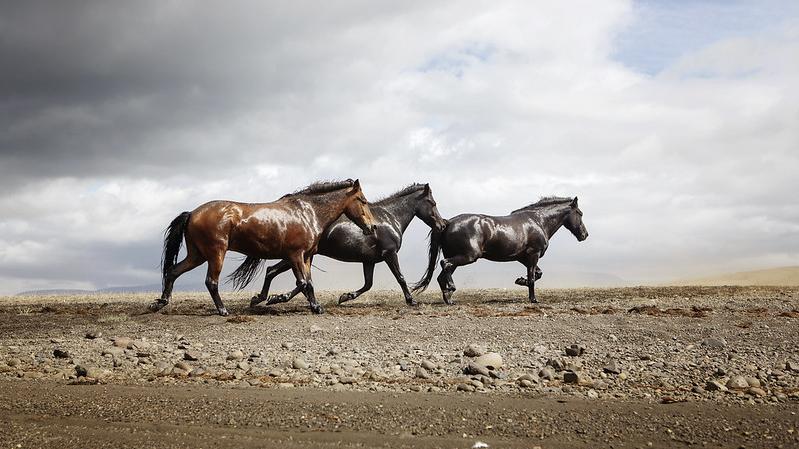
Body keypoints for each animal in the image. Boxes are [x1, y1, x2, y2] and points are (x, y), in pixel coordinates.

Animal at [151, 179, 377, 316]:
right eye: (363, 200)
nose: (372, 227)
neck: (308, 213)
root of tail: (192, 213)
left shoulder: (306, 257)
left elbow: (307, 282)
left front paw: (267, 299)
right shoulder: (295, 255)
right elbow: (304, 283)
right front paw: (315, 307)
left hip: (197, 255)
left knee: (173, 271)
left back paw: (160, 303)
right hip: (216, 254)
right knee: (211, 282)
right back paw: (223, 310)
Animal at [227, 183, 447, 307]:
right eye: (433, 203)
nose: (442, 224)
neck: (389, 218)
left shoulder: (369, 261)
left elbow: (368, 284)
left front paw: (345, 296)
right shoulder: (389, 254)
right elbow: (400, 278)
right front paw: (412, 300)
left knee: (279, 274)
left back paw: (268, 298)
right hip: (296, 256)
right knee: (280, 274)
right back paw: (273, 298)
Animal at [413, 196, 588, 304]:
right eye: (579, 213)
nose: (584, 235)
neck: (538, 221)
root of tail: (448, 222)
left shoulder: (523, 257)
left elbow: (537, 274)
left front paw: (520, 281)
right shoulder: (533, 254)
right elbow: (533, 277)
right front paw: (533, 299)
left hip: (457, 256)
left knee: (443, 273)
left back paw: (448, 297)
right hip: (468, 256)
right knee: (445, 264)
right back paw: (451, 289)